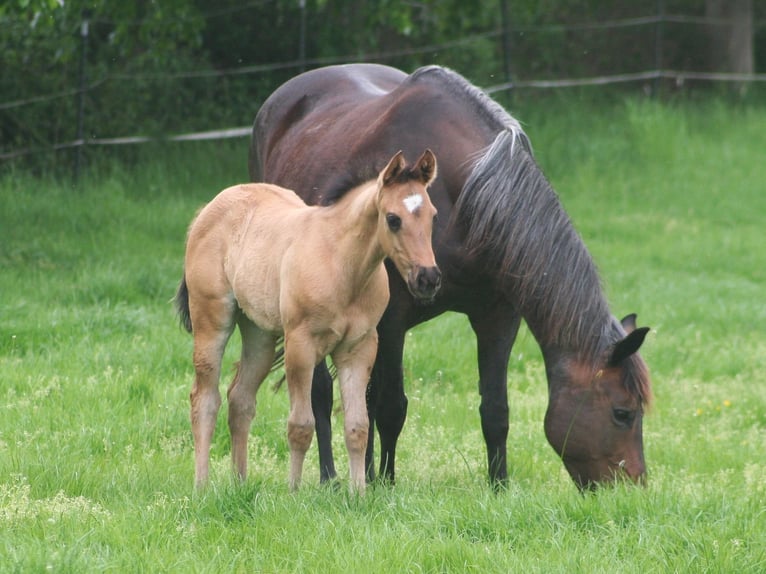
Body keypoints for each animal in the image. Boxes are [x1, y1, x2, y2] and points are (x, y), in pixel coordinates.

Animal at [175, 149, 440, 492]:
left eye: (433, 215)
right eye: (393, 219)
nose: (428, 279)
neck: (342, 265)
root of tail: (207, 211)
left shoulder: (359, 347)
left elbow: (358, 426)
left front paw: (359, 493)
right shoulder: (300, 345)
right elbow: (300, 425)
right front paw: (293, 491)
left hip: (259, 334)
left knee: (240, 399)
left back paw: (240, 484)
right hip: (212, 319)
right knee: (205, 399)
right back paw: (202, 486)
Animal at [249, 64, 652, 491]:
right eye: (623, 413)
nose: (633, 490)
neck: (468, 201)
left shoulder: (498, 317)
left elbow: (495, 409)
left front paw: (498, 486)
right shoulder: (390, 321)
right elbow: (388, 406)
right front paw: (383, 483)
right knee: (321, 394)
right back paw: (330, 477)